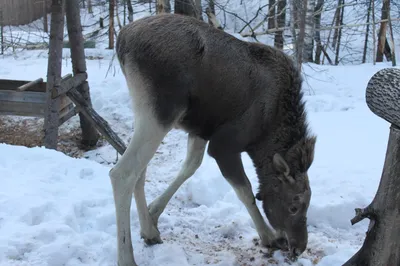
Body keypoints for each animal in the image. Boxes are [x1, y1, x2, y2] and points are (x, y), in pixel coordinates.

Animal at [108, 13, 316, 266]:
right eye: (294, 206)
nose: (300, 247)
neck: (266, 136)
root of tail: (122, 40)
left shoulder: (201, 131)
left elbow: (190, 166)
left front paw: (154, 212)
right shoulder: (224, 145)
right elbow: (246, 191)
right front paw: (270, 236)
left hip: (146, 114)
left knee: (140, 170)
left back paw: (149, 230)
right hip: (160, 113)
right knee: (123, 173)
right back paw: (127, 257)